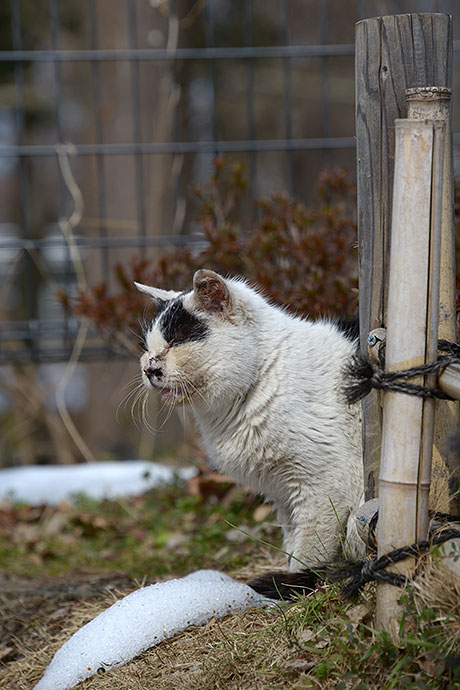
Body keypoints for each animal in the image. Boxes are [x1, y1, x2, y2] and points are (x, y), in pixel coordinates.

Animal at [135, 268, 364, 596]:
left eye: (176, 341)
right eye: (147, 348)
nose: (149, 368)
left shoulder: (325, 485)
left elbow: (311, 550)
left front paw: (297, 585)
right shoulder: (285, 496)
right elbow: (292, 542)